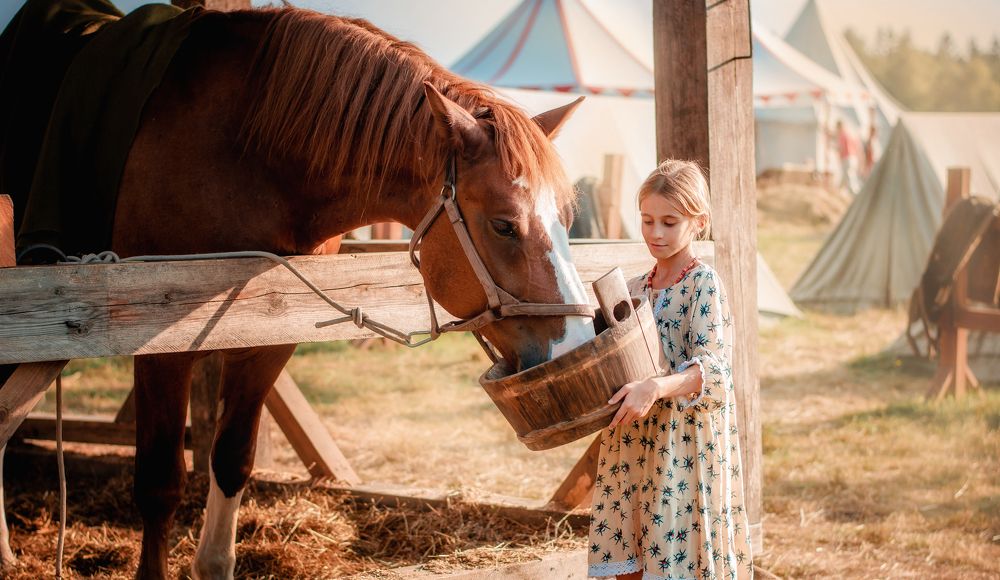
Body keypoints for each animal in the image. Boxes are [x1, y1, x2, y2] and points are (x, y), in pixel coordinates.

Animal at [1, 5, 598, 579]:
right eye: (503, 225)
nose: (573, 343)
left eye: (568, 219)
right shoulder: (157, 349)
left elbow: (232, 461)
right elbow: (159, 483)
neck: (243, 149)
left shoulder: (269, 339)